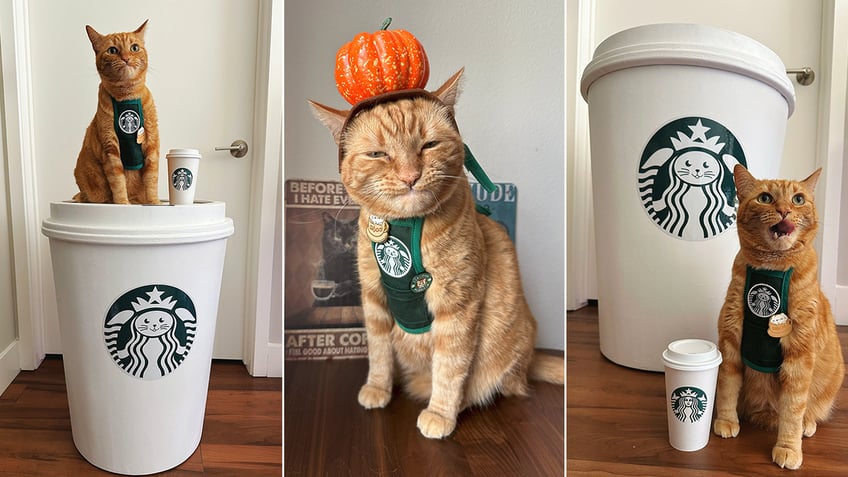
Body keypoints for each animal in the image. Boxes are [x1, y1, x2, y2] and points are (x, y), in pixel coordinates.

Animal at [73, 20, 160, 204]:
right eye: (112, 51)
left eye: (134, 48)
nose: (126, 58)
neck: (127, 97)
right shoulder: (110, 148)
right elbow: (118, 183)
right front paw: (123, 204)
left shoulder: (152, 144)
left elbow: (151, 180)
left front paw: (155, 203)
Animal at [310, 69, 564, 436]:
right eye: (378, 155)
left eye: (429, 145)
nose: (410, 177)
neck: (406, 226)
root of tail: (530, 358)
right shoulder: (373, 298)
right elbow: (378, 352)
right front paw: (378, 388)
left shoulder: (457, 306)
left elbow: (450, 365)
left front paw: (441, 413)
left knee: (502, 384)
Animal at [716, 165, 840, 468]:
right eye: (765, 198)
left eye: (798, 199)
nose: (784, 210)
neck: (771, 268)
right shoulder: (731, 338)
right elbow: (726, 386)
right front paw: (725, 420)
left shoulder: (799, 355)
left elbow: (793, 408)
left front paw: (788, 447)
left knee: (807, 411)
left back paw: (807, 424)